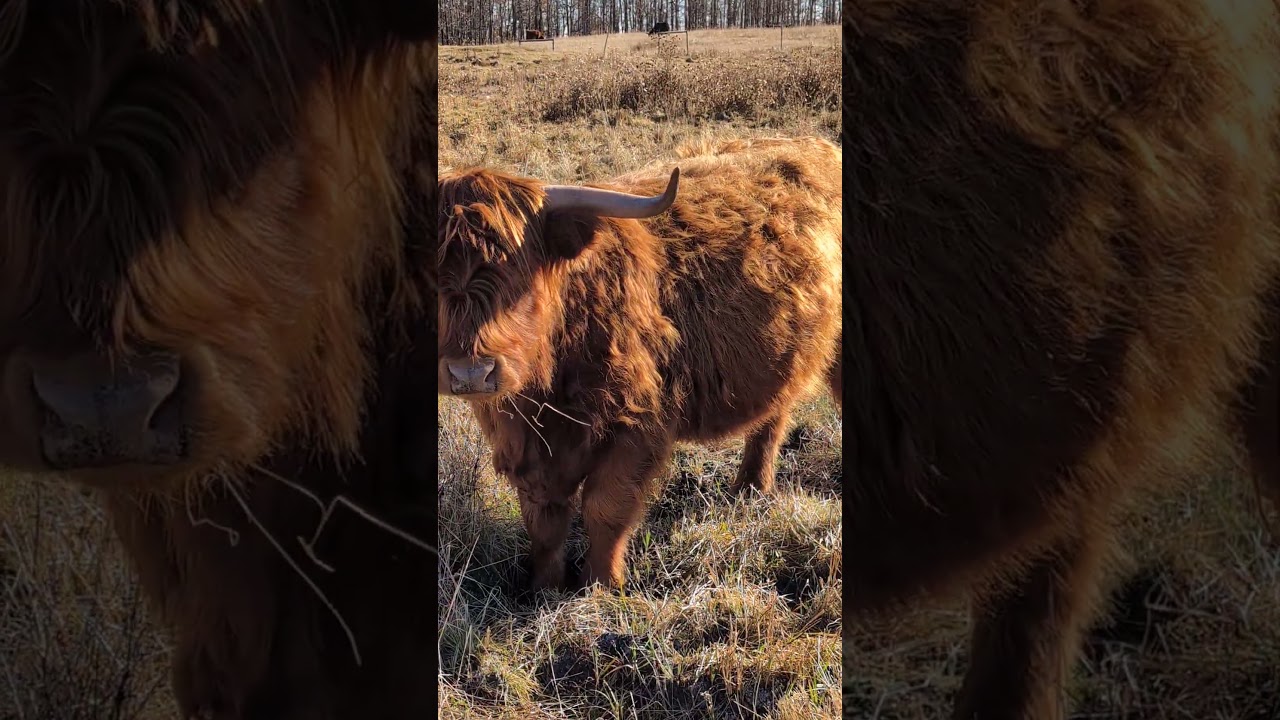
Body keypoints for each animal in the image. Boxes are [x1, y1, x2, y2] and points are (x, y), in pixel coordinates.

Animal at [438, 136, 842, 592]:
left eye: (519, 277)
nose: (471, 372)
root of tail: (815, 142)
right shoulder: (521, 439)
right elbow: (543, 519)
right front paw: (542, 587)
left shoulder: (637, 425)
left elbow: (604, 508)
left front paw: (600, 586)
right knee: (772, 416)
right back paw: (750, 489)